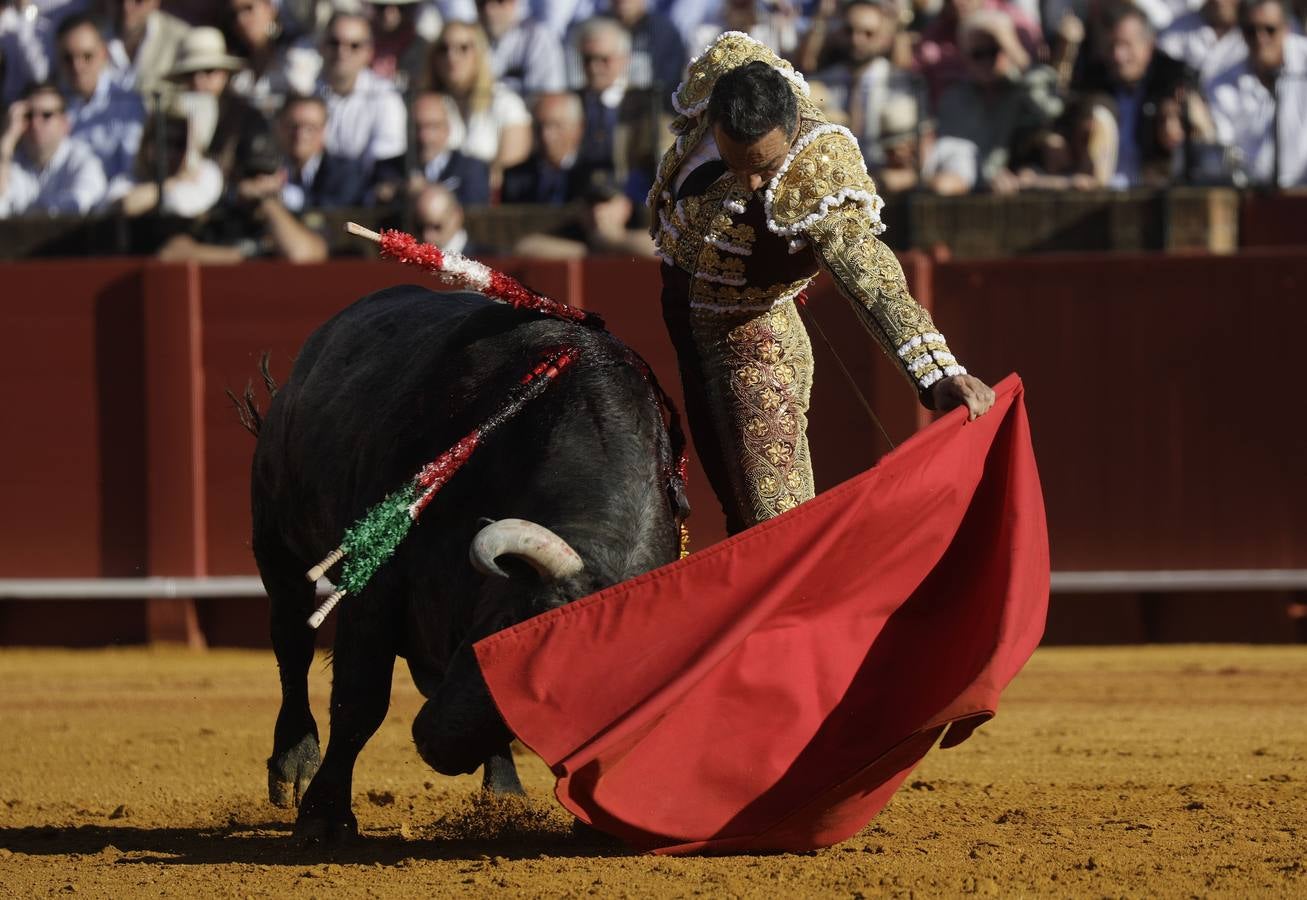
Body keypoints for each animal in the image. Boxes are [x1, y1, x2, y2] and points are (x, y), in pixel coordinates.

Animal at [250, 284, 690, 841]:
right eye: (509, 626)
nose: (438, 748)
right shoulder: (377, 587)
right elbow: (360, 699)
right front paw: (324, 818)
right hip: (277, 544)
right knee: (292, 643)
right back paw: (293, 766)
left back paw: (502, 793)